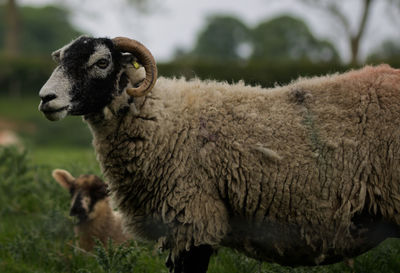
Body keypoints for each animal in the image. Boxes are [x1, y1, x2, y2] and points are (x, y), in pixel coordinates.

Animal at [38, 36, 400, 272]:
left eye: (101, 62)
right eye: (62, 60)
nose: (45, 98)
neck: (161, 119)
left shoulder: (195, 219)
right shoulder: (177, 230)